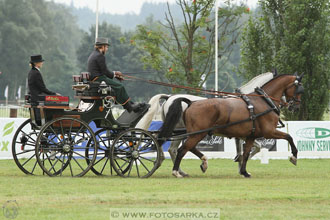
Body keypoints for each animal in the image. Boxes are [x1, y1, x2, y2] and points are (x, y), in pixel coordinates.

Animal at [159, 73, 306, 178]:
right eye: (299, 89)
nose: (296, 107)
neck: (263, 101)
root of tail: (190, 103)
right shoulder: (269, 131)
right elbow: (289, 137)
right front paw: (294, 156)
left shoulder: (250, 136)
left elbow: (246, 153)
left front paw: (244, 171)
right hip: (197, 134)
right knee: (181, 150)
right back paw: (176, 172)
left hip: (195, 134)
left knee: (188, 148)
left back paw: (202, 163)